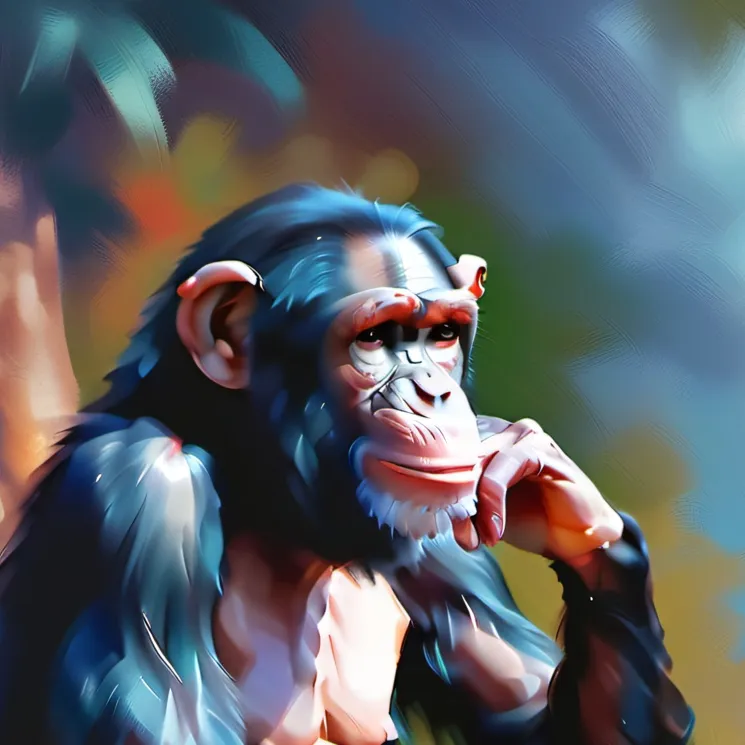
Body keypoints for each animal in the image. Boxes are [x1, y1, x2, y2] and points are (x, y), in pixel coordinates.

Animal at [0, 183, 694, 745]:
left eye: (443, 335)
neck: (272, 510)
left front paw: (559, 496)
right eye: (374, 339)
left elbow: (535, 723)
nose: (436, 394)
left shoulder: (439, 539)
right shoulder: (137, 491)